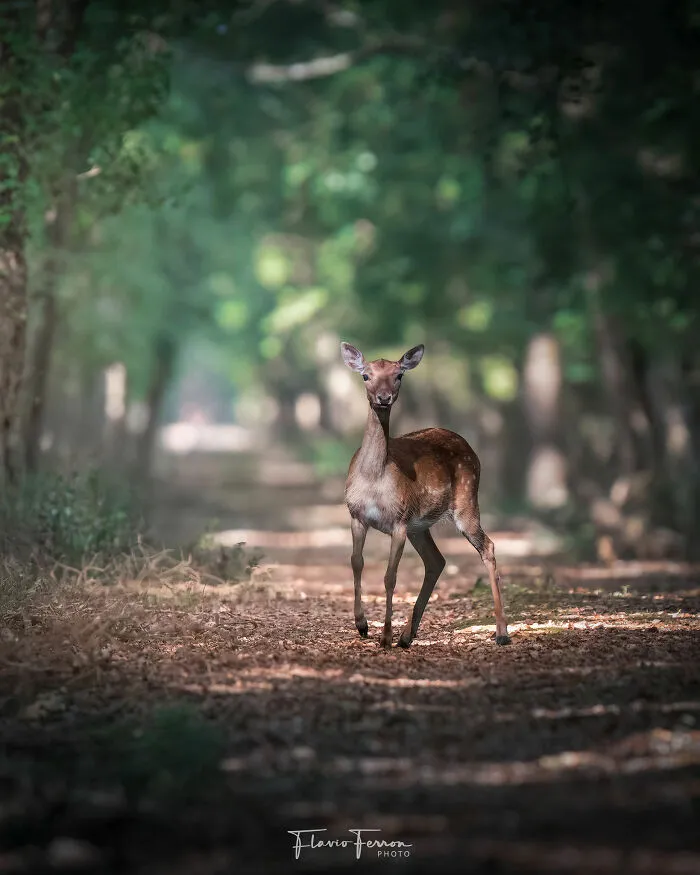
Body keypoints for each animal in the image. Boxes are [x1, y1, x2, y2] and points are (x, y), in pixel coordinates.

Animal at [341, 342, 510, 649]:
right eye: (366, 375)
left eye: (399, 375)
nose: (384, 398)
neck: (374, 478)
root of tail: (468, 445)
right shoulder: (356, 514)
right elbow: (357, 563)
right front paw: (362, 625)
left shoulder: (399, 520)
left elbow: (390, 576)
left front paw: (384, 636)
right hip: (420, 526)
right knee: (436, 560)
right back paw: (407, 636)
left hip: (466, 500)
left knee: (488, 547)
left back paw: (502, 633)